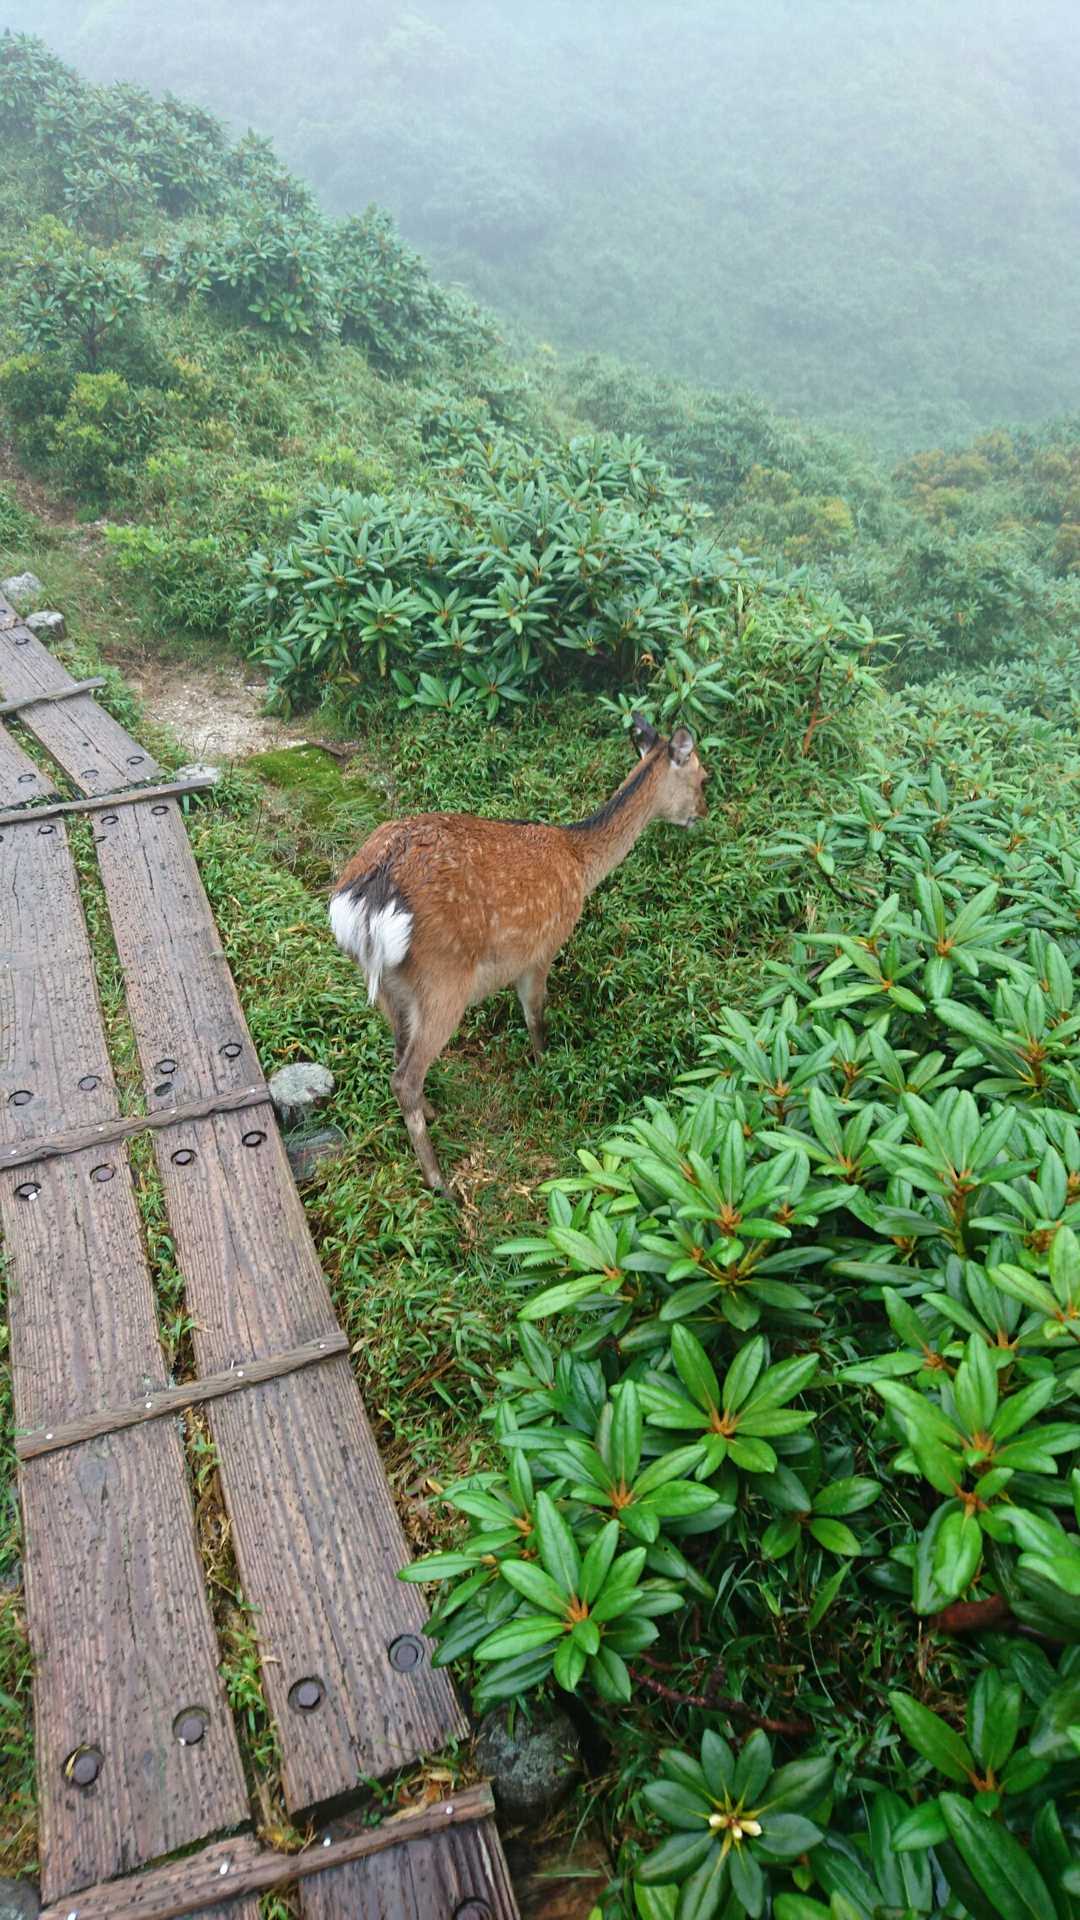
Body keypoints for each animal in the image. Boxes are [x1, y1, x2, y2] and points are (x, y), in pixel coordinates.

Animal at [329, 715, 709, 1192]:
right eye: (703, 776)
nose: (703, 814)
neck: (581, 863)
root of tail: (366, 898)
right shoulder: (542, 947)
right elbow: (536, 1018)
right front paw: (547, 1069)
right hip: (443, 980)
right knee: (405, 1077)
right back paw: (439, 1181)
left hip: (385, 985)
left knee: (399, 1054)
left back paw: (432, 1113)